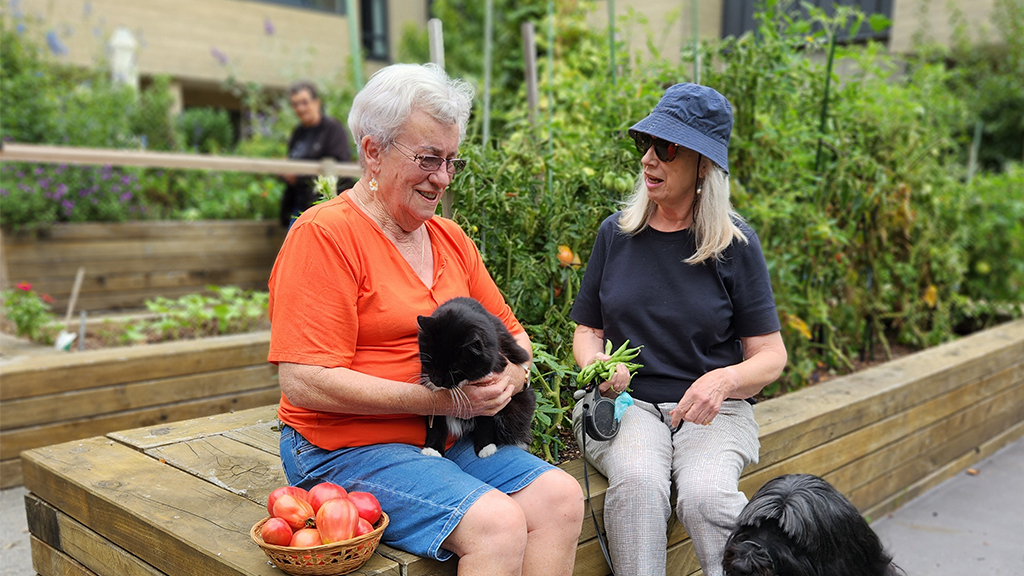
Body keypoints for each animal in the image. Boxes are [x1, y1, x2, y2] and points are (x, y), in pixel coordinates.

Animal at [417, 295, 536, 457]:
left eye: (455, 370)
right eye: (430, 362)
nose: (437, 381)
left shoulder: (492, 390)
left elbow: (485, 417)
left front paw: (486, 447)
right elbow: (436, 418)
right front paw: (432, 449)